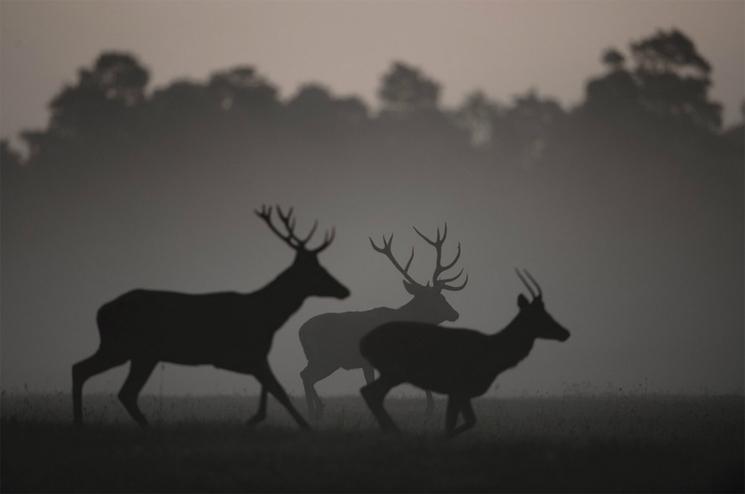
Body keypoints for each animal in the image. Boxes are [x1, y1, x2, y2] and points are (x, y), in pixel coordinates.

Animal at [72, 205, 348, 428]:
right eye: (317, 269)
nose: (344, 289)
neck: (267, 317)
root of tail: (101, 311)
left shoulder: (253, 357)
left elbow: (269, 388)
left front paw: (257, 418)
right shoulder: (243, 355)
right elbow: (278, 390)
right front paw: (304, 426)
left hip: (138, 353)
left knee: (108, 383)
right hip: (125, 347)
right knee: (98, 377)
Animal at [296, 224, 464, 420]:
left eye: (443, 295)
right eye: (436, 297)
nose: (455, 314)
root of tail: (300, 331)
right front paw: (428, 410)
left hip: (321, 359)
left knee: (305, 375)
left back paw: (317, 411)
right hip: (327, 358)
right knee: (307, 376)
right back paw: (315, 411)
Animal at [360, 270, 568, 436]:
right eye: (541, 316)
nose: (565, 332)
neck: (494, 354)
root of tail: (364, 342)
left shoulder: (460, 391)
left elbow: (464, 422)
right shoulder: (459, 386)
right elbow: (453, 425)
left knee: (371, 393)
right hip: (395, 370)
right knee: (370, 392)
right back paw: (395, 431)